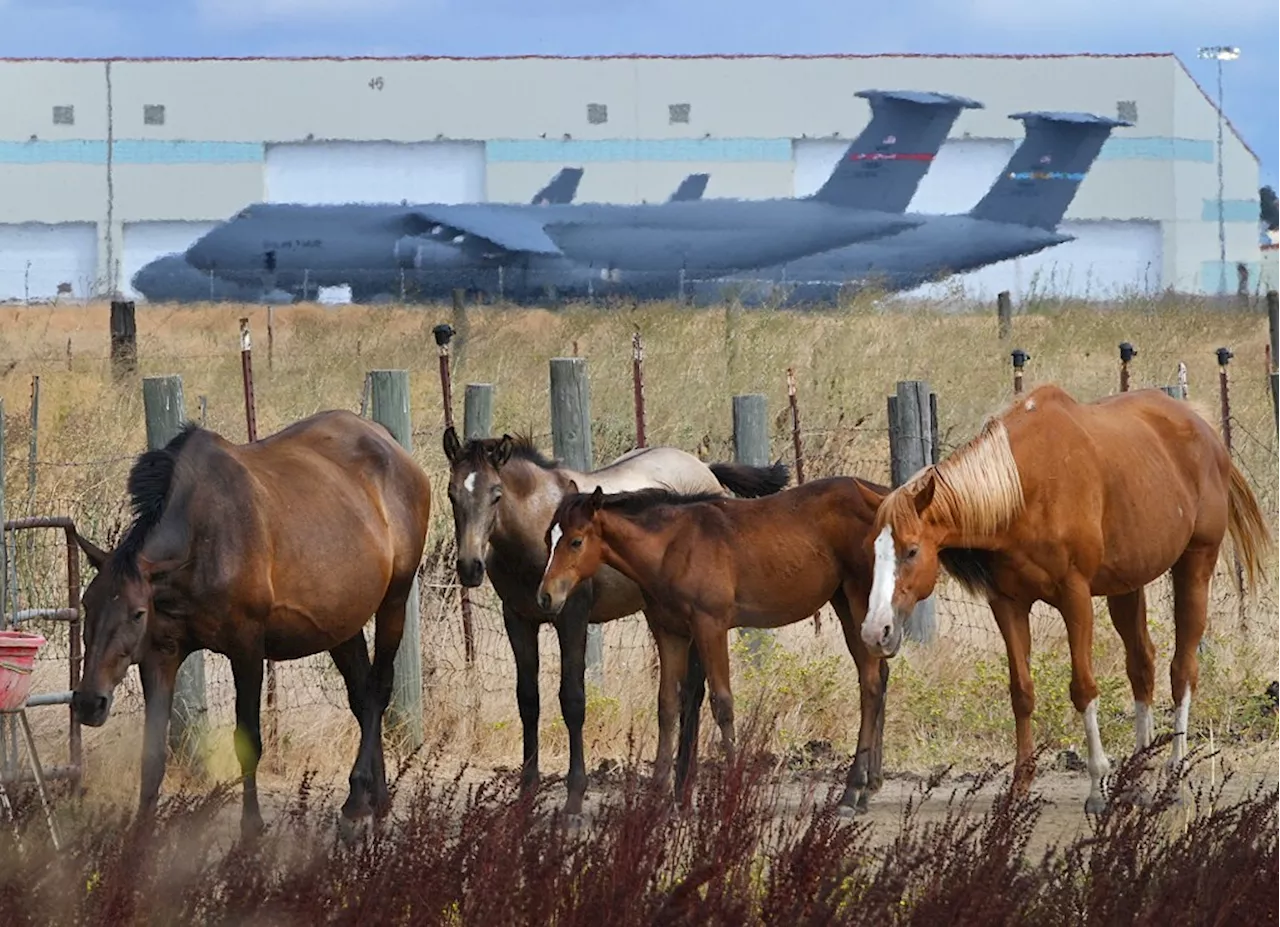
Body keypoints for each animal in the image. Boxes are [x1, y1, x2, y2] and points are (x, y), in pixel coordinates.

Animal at [72, 409, 432, 834]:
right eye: (86, 604)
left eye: (137, 612)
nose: (88, 702)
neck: (201, 544)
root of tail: (392, 446)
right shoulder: (160, 654)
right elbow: (153, 753)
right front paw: (140, 836)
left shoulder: (246, 648)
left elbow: (248, 741)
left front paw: (251, 830)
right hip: (343, 625)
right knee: (362, 698)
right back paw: (374, 801)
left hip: (394, 601)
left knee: (378, 690)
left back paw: (356, 801)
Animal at [445, 422, 793, 814]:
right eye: (452, 494)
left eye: (496, 494)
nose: (470, 567)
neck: (536, 528)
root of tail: (705, 469)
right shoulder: (518, 619)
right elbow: (528, 701)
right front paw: (525, 795)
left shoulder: (572, 618)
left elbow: (573, 700)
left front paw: (574, 799)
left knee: (693, 693)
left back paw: (683, 790)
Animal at [537, 473, 890, 814]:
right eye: (547, 539)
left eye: (576, 541)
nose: (546, 596)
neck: (672, 547)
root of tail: (884, 497)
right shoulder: (669, 631)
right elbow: (667, 705)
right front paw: (658, 794)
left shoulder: (710, 626)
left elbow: (723, 704)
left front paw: (731, 790)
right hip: (844, 602)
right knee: (877, 679)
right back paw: (865, 789)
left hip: (859, 600)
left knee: (871, 685)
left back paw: (852, 792)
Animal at [860, 381, 1269, 809]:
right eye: (873, 549)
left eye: (911, 551)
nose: (875, 631)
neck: (1025, 489)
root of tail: (1205, 429)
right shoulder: (1007, 604)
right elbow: (1021, 692)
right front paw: (1019, 788)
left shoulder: (1075, 597)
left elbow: (1083, 688)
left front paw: (1096, 784)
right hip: (1128, 585)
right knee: (1142, 665)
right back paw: (1136, 779)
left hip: (1195, 566)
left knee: (1183, 670)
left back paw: (1174, 777)